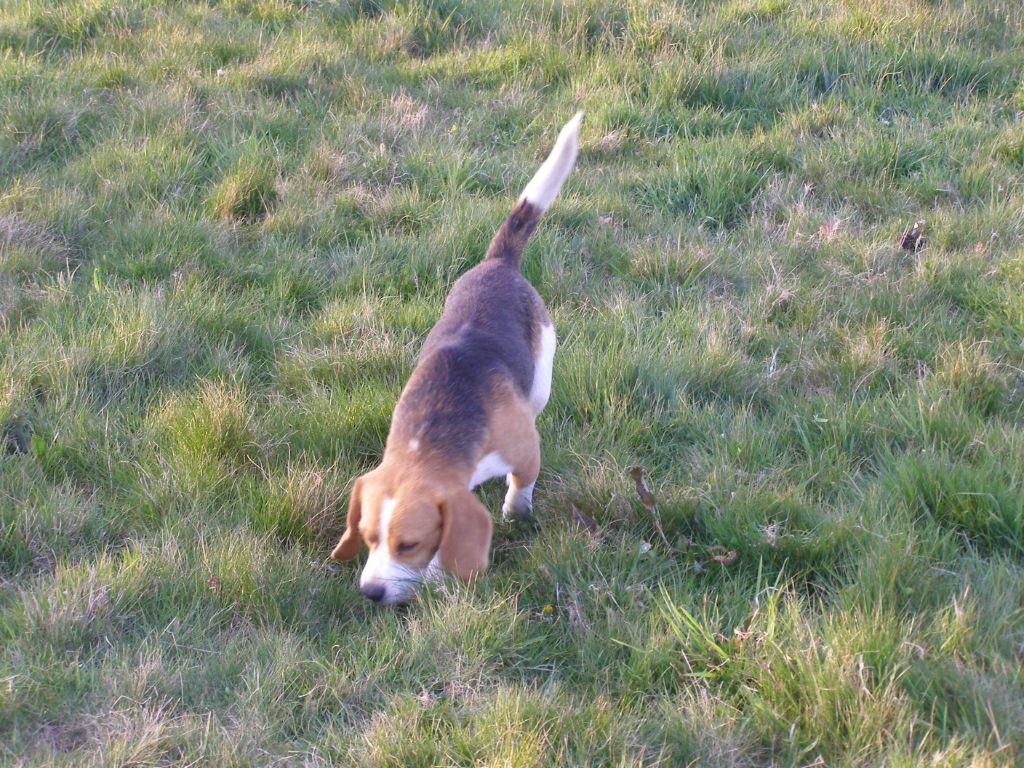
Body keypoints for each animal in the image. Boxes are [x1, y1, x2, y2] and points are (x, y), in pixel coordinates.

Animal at [331, 114, 581, 606]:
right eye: (366, 538)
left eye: (409, 544)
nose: (370, 592)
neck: (429, 436)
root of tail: (499, 263)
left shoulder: (524, 451)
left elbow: (519, 488)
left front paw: (515, 513)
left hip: (542, 372)